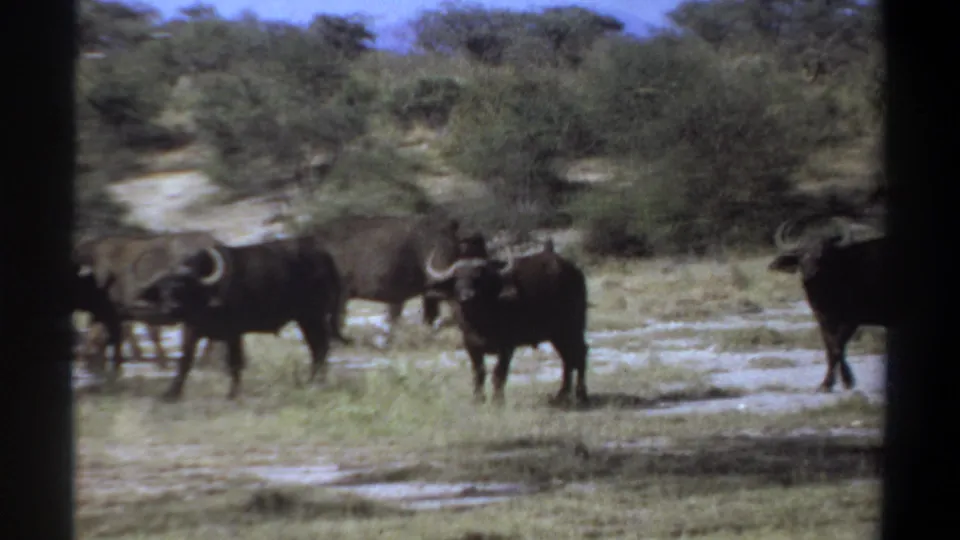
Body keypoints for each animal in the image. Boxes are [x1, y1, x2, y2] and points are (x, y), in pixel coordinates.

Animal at [139, 236, 348, 401]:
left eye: (182, 287)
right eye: (163, 290)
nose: (171, 309)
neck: (208, 294)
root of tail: (323, 255)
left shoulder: (233, 332)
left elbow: (234, 362)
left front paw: (233, 393)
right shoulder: (192, 329)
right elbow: (185, 361)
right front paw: (171, 394)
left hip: (311, 316)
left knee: (320, 347)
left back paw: (314, 381)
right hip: (307, 319)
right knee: (318, 348)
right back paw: (314, 380)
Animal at [424, 237, 590, 406]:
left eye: (479, 278)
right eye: (457, 279)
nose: (467, 296)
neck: (480, 321)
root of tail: (575, 272)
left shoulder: (507, 347)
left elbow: (499, 373)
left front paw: (498, 401)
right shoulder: (471, 345)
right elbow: (479, 372)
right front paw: (478, 399)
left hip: (572, 328)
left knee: (580, 354)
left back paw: (581, 395)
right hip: (557, 335)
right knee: (568, 359)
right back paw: (562, 394)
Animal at [768, 216, 890, 392]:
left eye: (824, 252)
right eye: (801, 253)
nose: (811, 272)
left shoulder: (851, 320)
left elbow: (837, 347)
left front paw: (842, 381)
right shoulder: (823, 319)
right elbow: (830, 348)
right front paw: (830, 382)